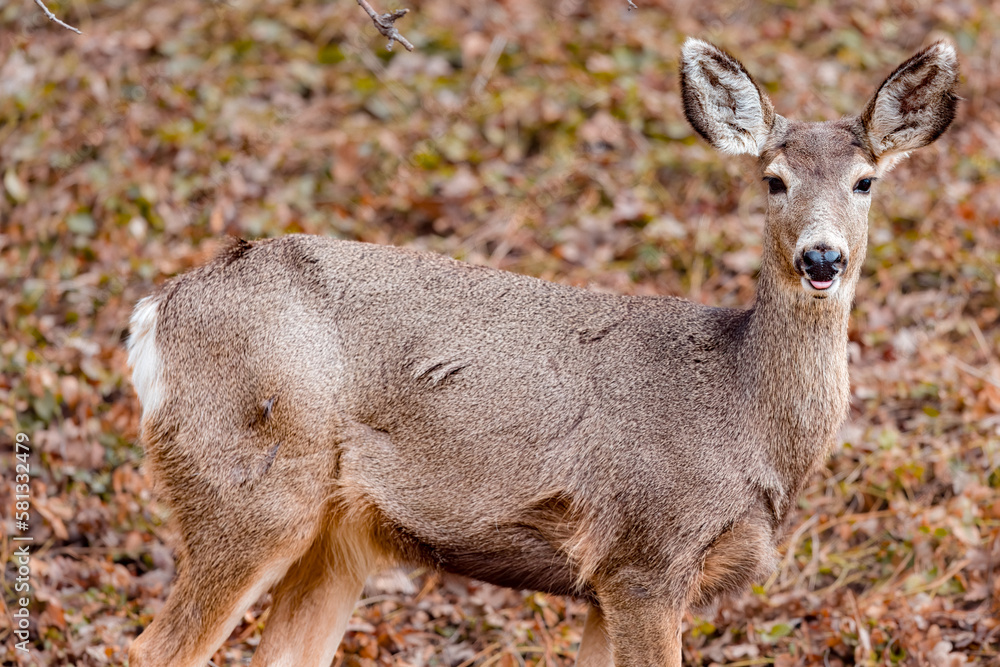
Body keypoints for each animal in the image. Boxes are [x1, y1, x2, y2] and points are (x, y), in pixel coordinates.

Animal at [129, 39, 956, 664]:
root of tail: (156, 314)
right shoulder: (645, 554)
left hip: (340, 535)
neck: (741, 408)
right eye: (774, 180)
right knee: (155, 647)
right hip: (248, 485)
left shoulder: (603, 581)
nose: (822, 258)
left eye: (865, 181)